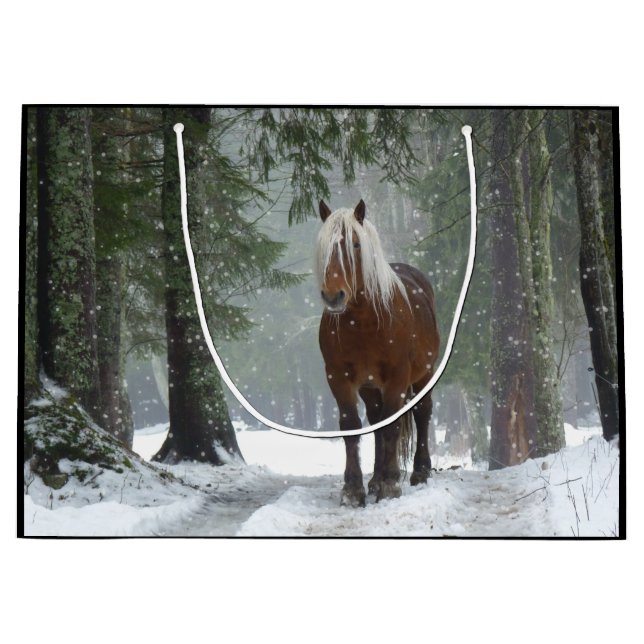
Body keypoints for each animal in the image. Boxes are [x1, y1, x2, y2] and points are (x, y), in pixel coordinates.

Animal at [316, 199, 440, 507]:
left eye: (356, 244)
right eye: (324, 247)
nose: (333, 296)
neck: (364, 322)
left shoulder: (397, 377)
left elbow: (394, 425)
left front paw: (391, 485)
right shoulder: (339, 377)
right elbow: (352, 426)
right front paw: (353, 489)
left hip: (424, 374)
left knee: (422, 412)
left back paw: (419, 472)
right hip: (370, 387)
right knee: (376, 422)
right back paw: (375, 479)